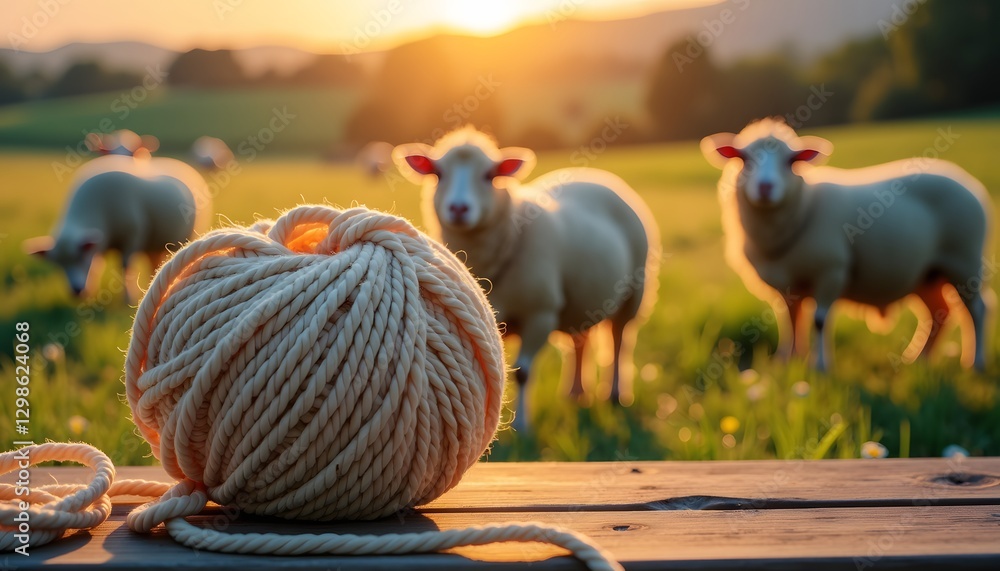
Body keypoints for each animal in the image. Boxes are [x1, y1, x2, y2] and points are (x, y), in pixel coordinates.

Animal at [23, 153, 212, 302]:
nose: (75, 292)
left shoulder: (132, 236)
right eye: (57, 264)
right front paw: (91, 292)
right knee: (155, 264)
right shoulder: (101, 243)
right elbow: (96, 267)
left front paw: (127, 298)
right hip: (153, 244)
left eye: (79, 256)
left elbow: (125, 267)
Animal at [393, 126, 660, 431]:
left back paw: (615, 395)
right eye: (438, 174)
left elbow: (523, 372)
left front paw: (521, 426)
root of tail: (598, 177)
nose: (459, 208)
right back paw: (575, 393)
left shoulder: (540, 313)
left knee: (619, 341)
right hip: (583, 300)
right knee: (580, 342)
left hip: (634, 293)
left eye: (490, 175)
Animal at [701, 118, 993, 371]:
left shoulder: (831, 269)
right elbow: (789, 321)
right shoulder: (788, 286)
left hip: (964, 261)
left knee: (977, 309)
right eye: (744, 158)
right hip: (927, 274)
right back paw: (918, 360)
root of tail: (969, 184)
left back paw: (975, 363)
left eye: (791, 161)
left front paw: (820, 367)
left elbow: (819, 321)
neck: (804, 210)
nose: (765, 187)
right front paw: (787, 362)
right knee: (939, 312)